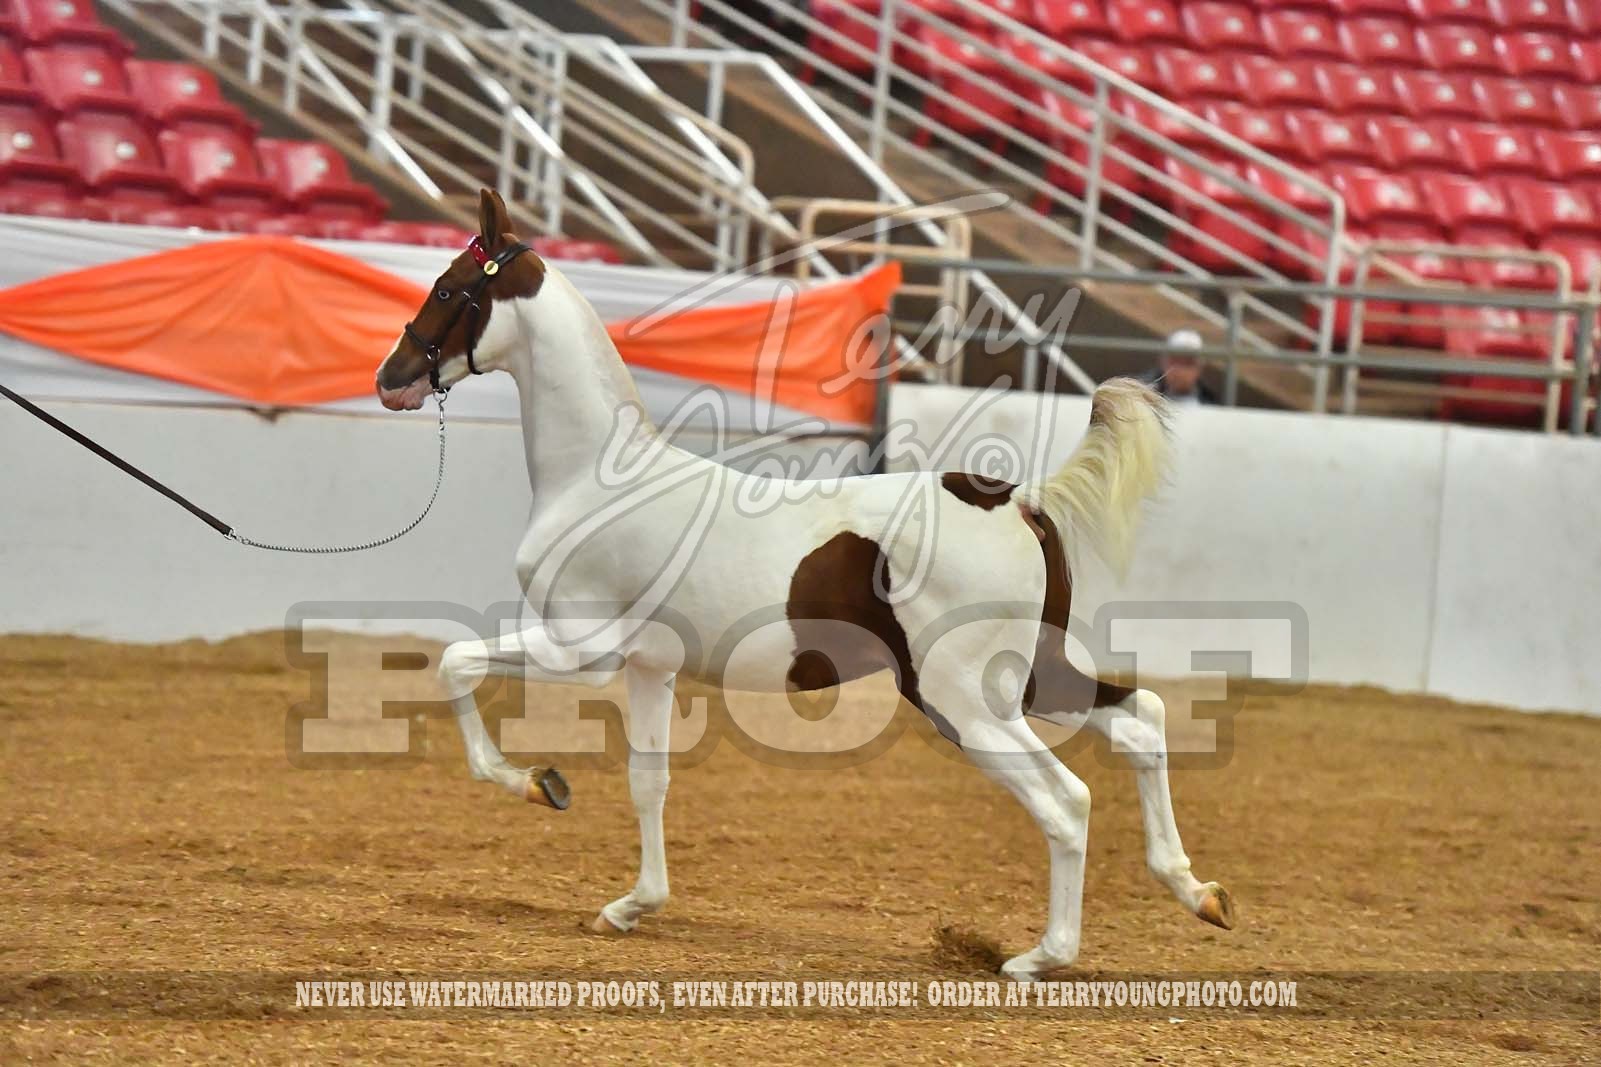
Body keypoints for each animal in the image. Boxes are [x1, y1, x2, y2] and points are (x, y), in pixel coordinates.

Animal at [374, 189, 1234, 982]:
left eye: (447, 288)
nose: (391, 378)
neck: (597, 478)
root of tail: (1019, 499)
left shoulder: (577, 649)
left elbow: (454, 662)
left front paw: (539, 784)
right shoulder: (649, 666)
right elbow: (648, 781)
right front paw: (630, 905)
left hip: (961, 700)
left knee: (1067, 800)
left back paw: (1039, 955)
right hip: (1027, 680)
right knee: (1140, 720)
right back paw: (1199, 893)